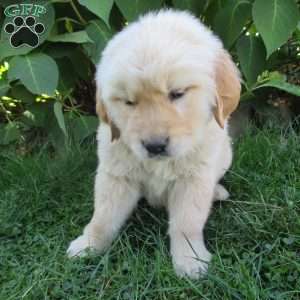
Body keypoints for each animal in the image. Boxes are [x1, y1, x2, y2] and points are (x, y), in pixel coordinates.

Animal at [67, 10, 240, 280]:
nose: (155, 146)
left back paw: (217, 192)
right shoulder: (115, 175)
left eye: (177, 93)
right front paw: (88, 244)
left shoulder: (194, 179)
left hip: (225, 155)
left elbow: (186, 224)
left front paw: (189, 260)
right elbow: (103, 217)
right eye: (129, 102)